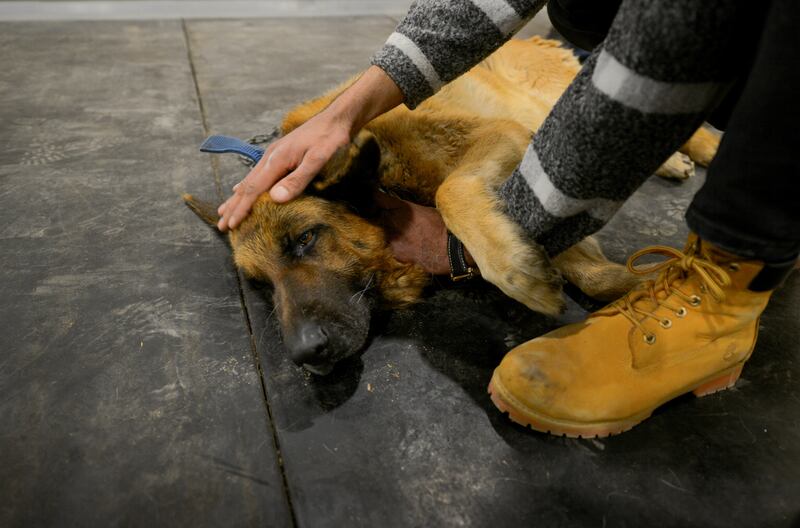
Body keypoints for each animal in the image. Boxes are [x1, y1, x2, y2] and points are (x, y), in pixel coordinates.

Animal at [183, 37, 720, 376]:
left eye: (305, 240)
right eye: (259, 284)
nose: (302, 355)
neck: (388, 180)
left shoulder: (504, 138)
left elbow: (453, 192)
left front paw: (519, 274)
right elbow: (581, 264)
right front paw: (636, 281)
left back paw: (702, 149)